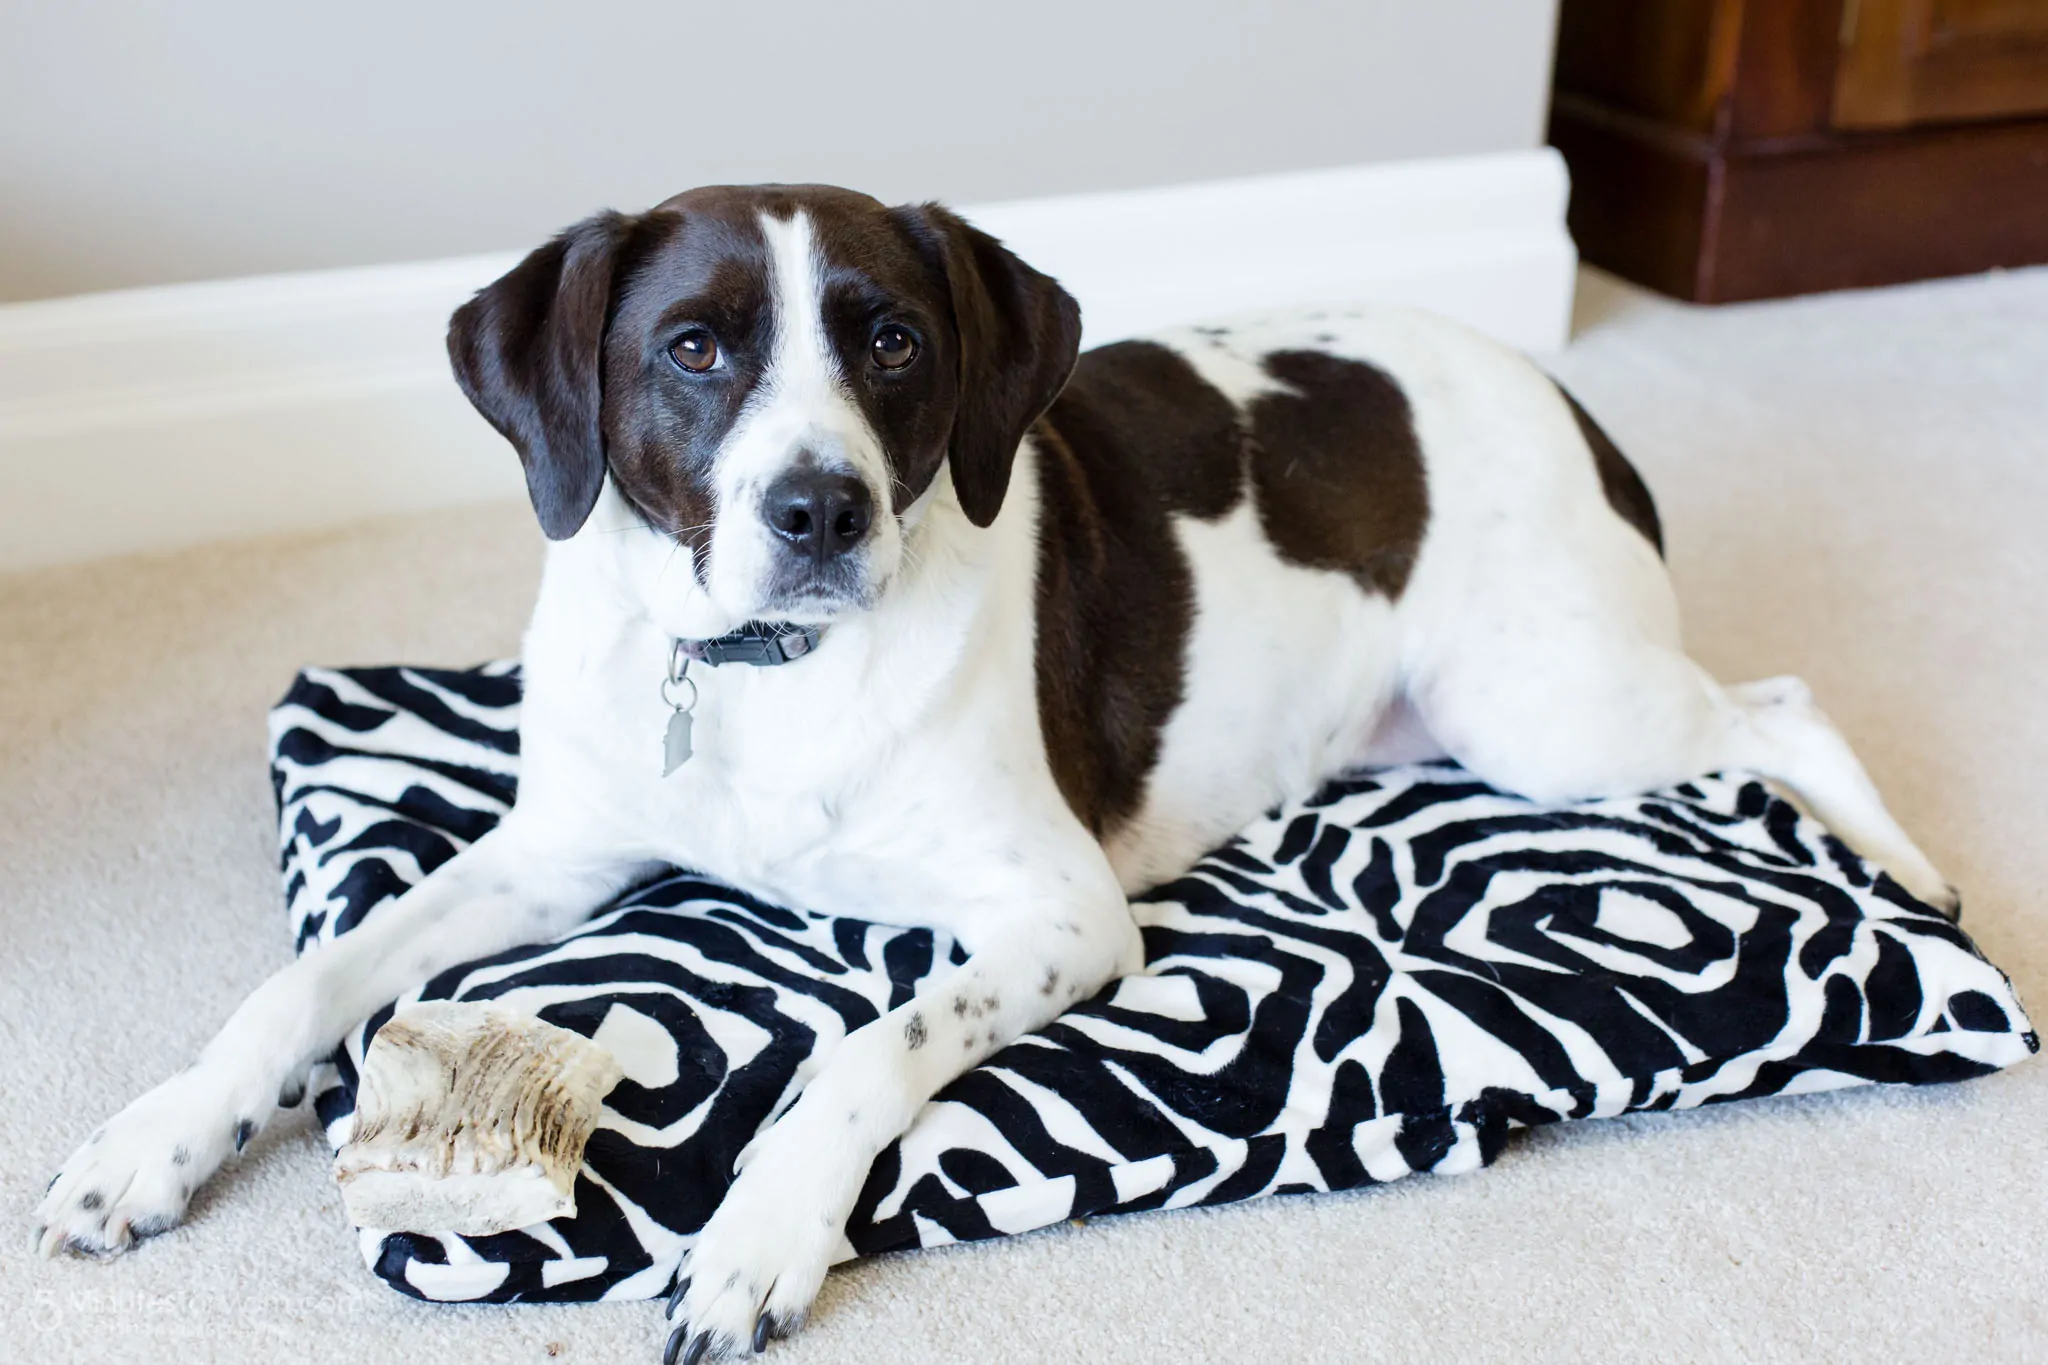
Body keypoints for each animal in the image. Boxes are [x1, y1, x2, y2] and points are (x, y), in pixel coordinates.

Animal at [36, 184, 1949, 1365]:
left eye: (890, 339)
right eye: (694, 346)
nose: (817, 510)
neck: (767, 677)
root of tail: (1557, 392)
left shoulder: (1061, 914)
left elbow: (861, 1049)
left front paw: (752, 1238)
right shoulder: (551, 856)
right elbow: (302, 987)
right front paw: (150, 1141)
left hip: (1542, 708)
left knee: (1780, 708)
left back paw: (1914, 874)